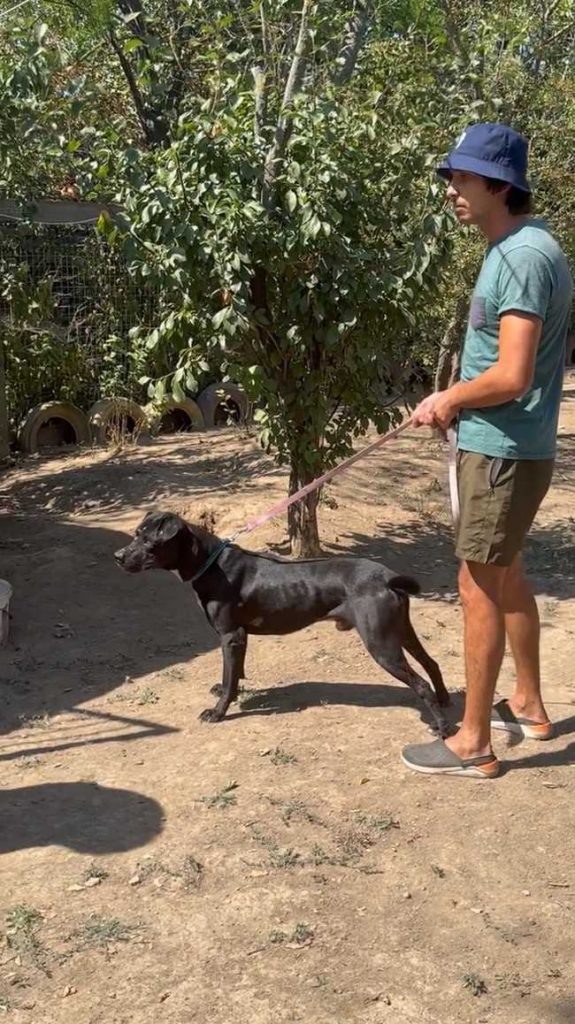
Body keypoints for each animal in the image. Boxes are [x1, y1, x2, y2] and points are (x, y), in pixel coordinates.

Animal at [115, 511, 450, 733]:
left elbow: (229, 676)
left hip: (381, 642)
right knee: (431, 662)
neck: (210, 563)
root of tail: (387, 577)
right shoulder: (240, 637)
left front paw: (218, 711)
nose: (117, 556)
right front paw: (230, 692)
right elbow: (234, 673)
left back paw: (442, 727)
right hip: (400, 630)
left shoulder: (230, 635)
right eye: (135, 533)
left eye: (147, 539)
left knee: (420, 682)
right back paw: (446, 701)